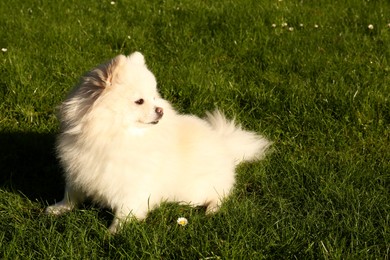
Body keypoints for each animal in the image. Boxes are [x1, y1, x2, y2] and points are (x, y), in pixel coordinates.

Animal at [46, 51, 272, 233]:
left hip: (196, 191)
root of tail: (225, 146)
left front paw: (113, 233)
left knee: (221, 194)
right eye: (140, 101)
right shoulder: (79, 170)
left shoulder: (132, 185)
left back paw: (212, 209)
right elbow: (71, 195)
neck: (113, 134)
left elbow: (124, 211)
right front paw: (58, 209)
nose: (160, 110)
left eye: (154, 98)